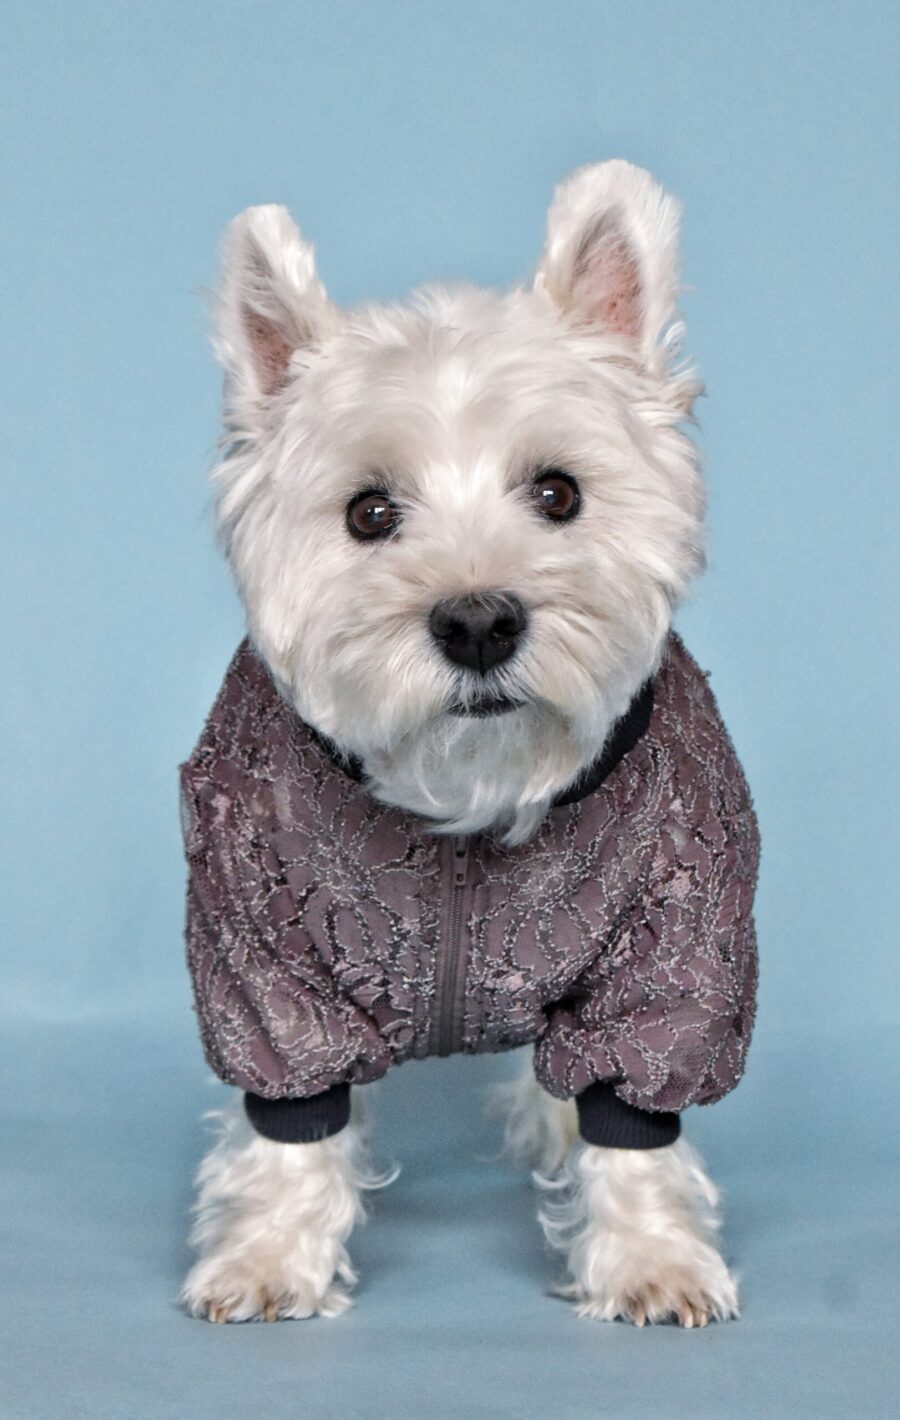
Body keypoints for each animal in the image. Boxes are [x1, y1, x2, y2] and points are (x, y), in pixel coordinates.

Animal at [180, 163, 755, 1329]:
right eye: (368, 512)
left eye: (558, 492)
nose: (479, 622)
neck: (469, 799)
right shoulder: (259, 964)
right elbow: (288, 1127)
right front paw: (267, 1259)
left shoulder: (675, 963)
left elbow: (633, 1121)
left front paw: (652, 1260)